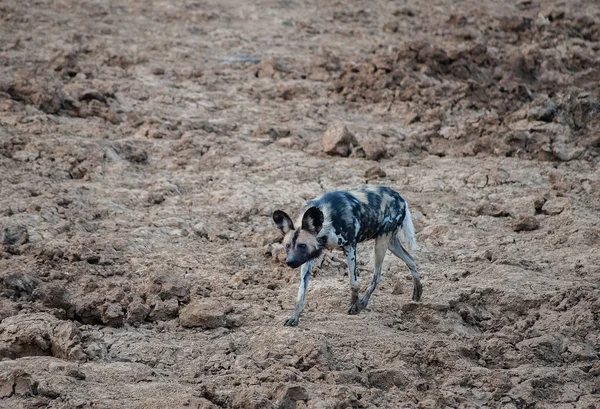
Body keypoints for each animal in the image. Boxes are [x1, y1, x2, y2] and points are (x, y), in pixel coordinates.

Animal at [274, 185, 422, 326]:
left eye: (302, 245)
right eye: (287, 246)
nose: (289, 262)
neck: (327, 222)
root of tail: (400, 197)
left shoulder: (350, 247)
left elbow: (353, 283)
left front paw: (354, 306)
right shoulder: (307, 259)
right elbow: (301, 293)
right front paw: (294, 317)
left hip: (381, 241)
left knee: (377, 275)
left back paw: (362, 303)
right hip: (390, 243)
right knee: (411, 259)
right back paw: (418, 292)